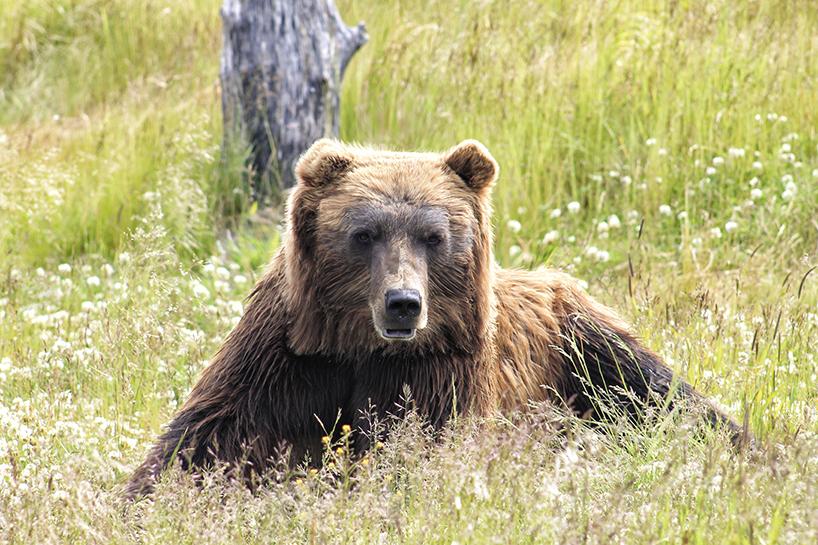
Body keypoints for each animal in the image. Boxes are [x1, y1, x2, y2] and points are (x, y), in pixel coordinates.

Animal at [124, 137, 744, 498]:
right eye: (364, 233)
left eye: (433, 236)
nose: (403, 302)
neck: (361, 347)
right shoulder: (289, 355)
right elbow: (207, 438)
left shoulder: (438, 369)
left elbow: (419, 448)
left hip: (579, 342)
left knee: (662, 396)